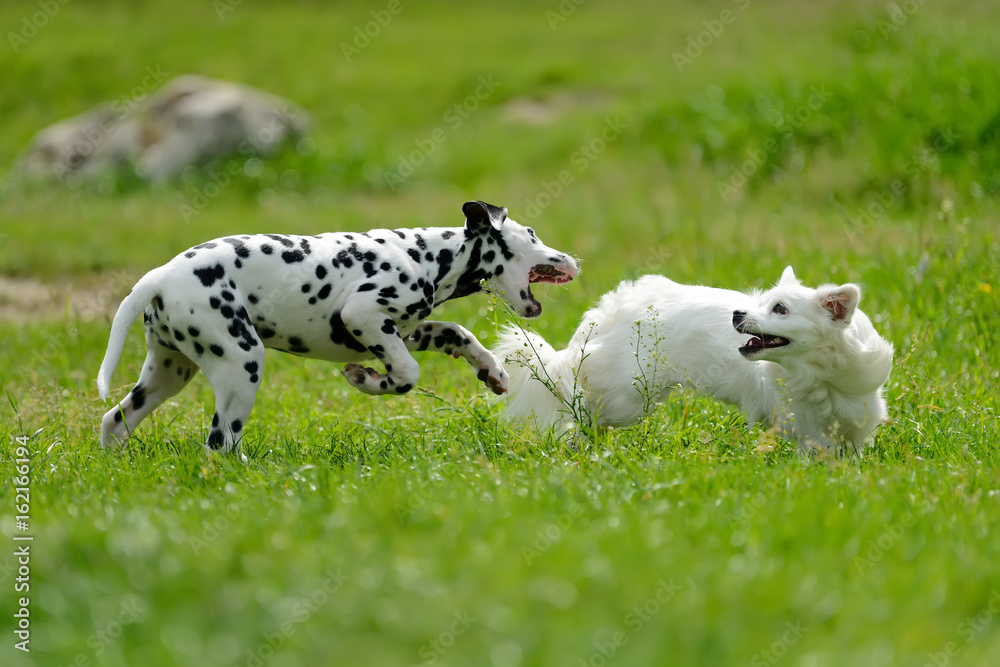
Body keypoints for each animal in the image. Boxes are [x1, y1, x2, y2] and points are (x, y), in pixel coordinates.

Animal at [97, 201, 584, 454]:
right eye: (532, 234)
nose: (574, 260)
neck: (428, 255)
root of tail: (159, 275)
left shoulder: (402, 331)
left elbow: (456, 333)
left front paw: (492, 371)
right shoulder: (363, 316)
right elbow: (407, 376)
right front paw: (365, 380)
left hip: (168, 374)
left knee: (114, 421)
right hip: (240, 365)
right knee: (220, 443)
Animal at [496, 266, 896, 454]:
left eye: (780, 309)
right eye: (760, 303)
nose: (737, 313)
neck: (821, 375)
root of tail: (609, 311)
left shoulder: (860, 418)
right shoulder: (807, 428)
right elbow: (819, 450)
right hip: (627, 400)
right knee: (583, 411)